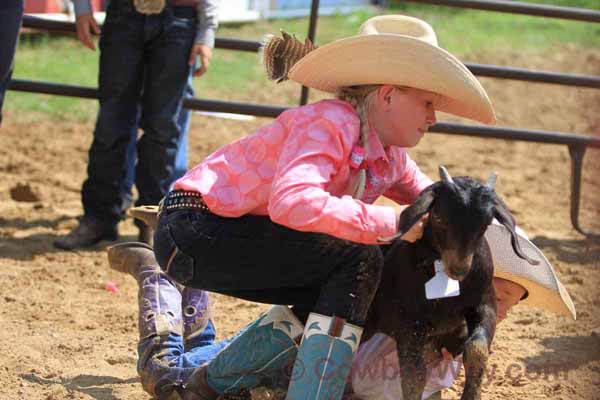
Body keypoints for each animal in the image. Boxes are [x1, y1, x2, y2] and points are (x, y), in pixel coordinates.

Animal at [364, 166, 536, 400]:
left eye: (486, 224)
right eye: (438, 218)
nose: (459, 268)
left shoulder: (485, 306)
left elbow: (477, 350)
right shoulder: (407, 321)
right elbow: (414, 374)